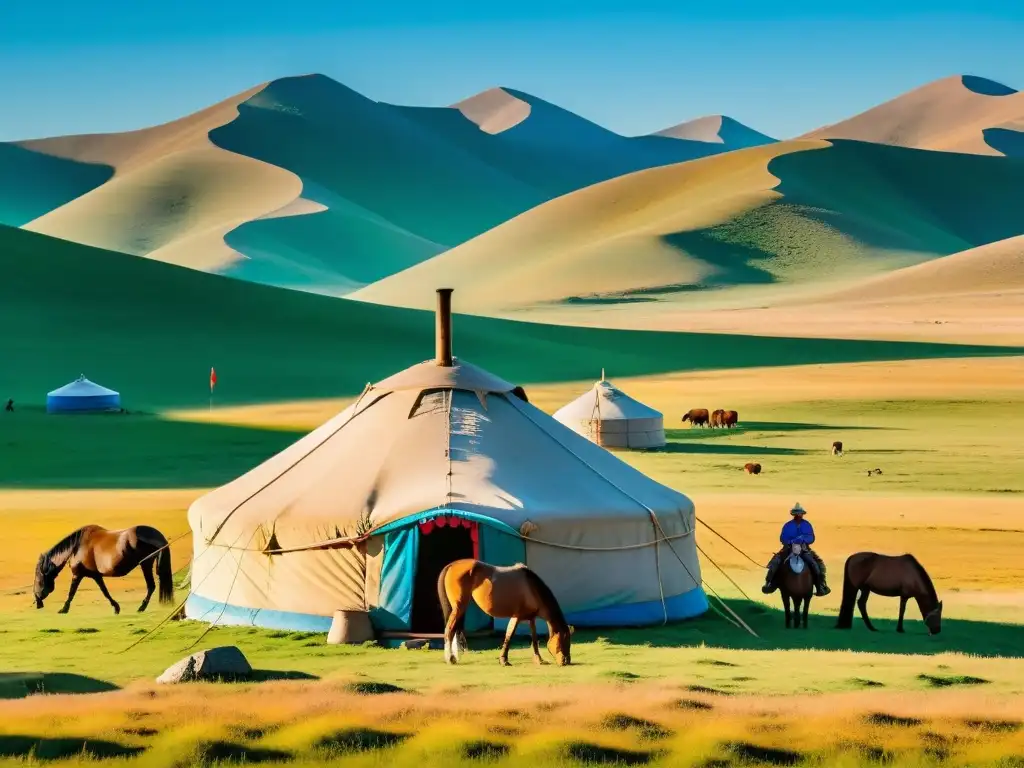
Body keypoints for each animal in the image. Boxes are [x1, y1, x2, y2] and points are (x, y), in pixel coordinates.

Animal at [33, 528, 174, 618]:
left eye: (38, 578)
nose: (37, 599)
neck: (77, 547)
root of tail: (157, 535)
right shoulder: (96, 576)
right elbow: (105, 591)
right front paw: (116, 607)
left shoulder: (78, 575)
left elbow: (71, 592)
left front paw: (64, 609)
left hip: (145, 564)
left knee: (151, 586)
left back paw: (141, 607)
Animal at [436, 561, 573, 667]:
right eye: (564, 639)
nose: (566, 661)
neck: (532, 587)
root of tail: (452, 565)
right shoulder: (517, 616)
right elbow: (509, 636)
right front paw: (504, 660)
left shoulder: (530, 618)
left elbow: (534, 639)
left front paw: (538, 659)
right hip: (459, 608)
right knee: (449, 630)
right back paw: (450, 658)